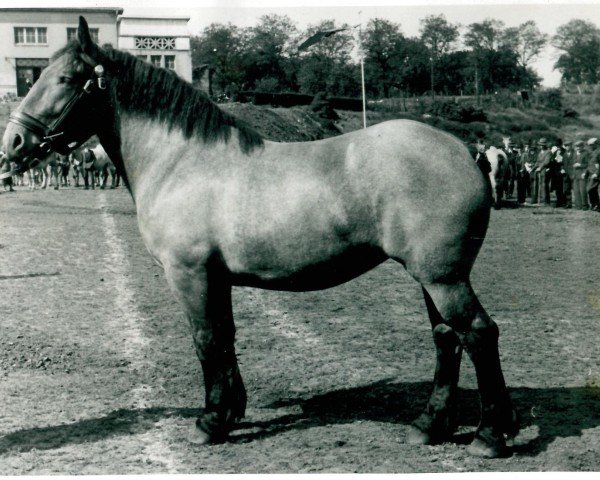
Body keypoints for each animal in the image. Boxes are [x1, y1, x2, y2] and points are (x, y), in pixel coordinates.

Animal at [2, 15, 516, 458]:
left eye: (65, 79)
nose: (13, 144)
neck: (182, 162)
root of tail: (465, 151)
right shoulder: (217, 278)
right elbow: (226, 337)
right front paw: (231, 412)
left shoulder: (190, 275)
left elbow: (206, 340)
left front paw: (209, 423)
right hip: (432, 276)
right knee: (447, 338)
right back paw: (430, 426)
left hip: (443, 276)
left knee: (478, 333)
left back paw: (489, 436)